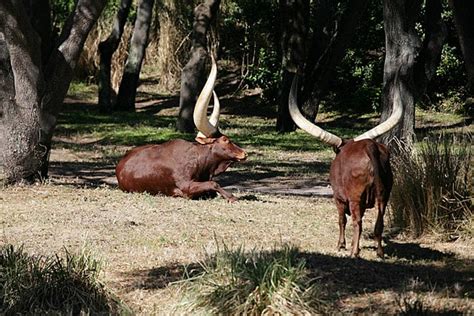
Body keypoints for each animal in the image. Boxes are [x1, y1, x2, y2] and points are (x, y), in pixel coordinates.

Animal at [116, 55, 246, 201]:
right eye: (225, 139)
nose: (244, 153)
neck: (199, 159)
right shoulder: (186, 187)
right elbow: (214, 184)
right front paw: (231, 197)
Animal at [286, 75, 402, 258]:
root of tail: (370, 146)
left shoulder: (338, 198)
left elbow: (342, 220)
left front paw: (341, 245)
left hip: (355, 197)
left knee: (357, 222)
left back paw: (354, 252)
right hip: (385, 194)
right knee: (379, 222)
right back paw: (379, 252)